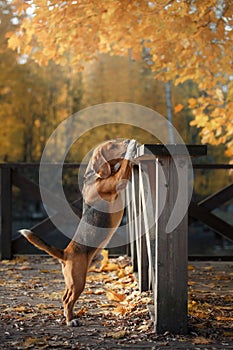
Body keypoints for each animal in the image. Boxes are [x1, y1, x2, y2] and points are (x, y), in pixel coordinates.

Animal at [20, 139, 137, 326]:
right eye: (112, 145)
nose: (126, 140)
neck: (94, 177)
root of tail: (65, 253)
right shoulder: (118, 180)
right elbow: (125, 163)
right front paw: (132, 146)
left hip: (73, 280)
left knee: (65, 296)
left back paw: (70, 316)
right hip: (78, 280)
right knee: (67, 299)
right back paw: (70, 320)